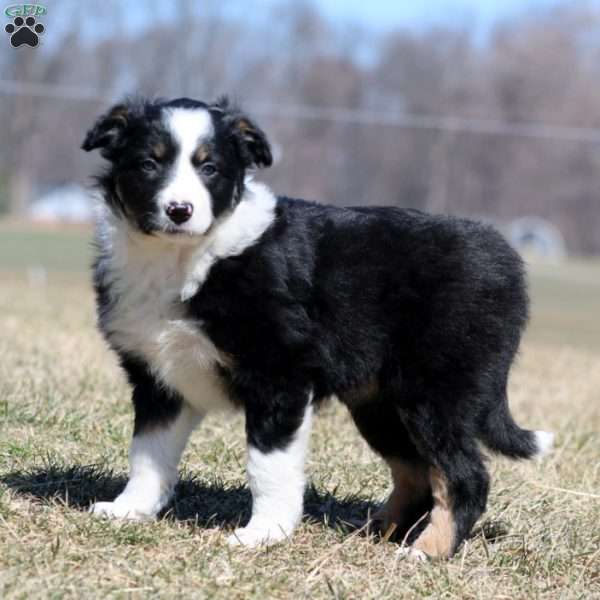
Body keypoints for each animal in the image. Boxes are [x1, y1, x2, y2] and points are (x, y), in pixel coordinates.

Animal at [83, 96, 552, 560]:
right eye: (149, 164)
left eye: (209, 168)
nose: (180, 211)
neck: (182, 257)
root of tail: (507, 261)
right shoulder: (158, 379)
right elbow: (148, 453)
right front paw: (129, 510)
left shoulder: (279, 377)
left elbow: (268, 466)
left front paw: (262, 534)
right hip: (379, 402)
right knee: (417, 473)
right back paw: (374, 531)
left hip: (437, 393)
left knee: (464, 476)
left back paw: (426, 552)